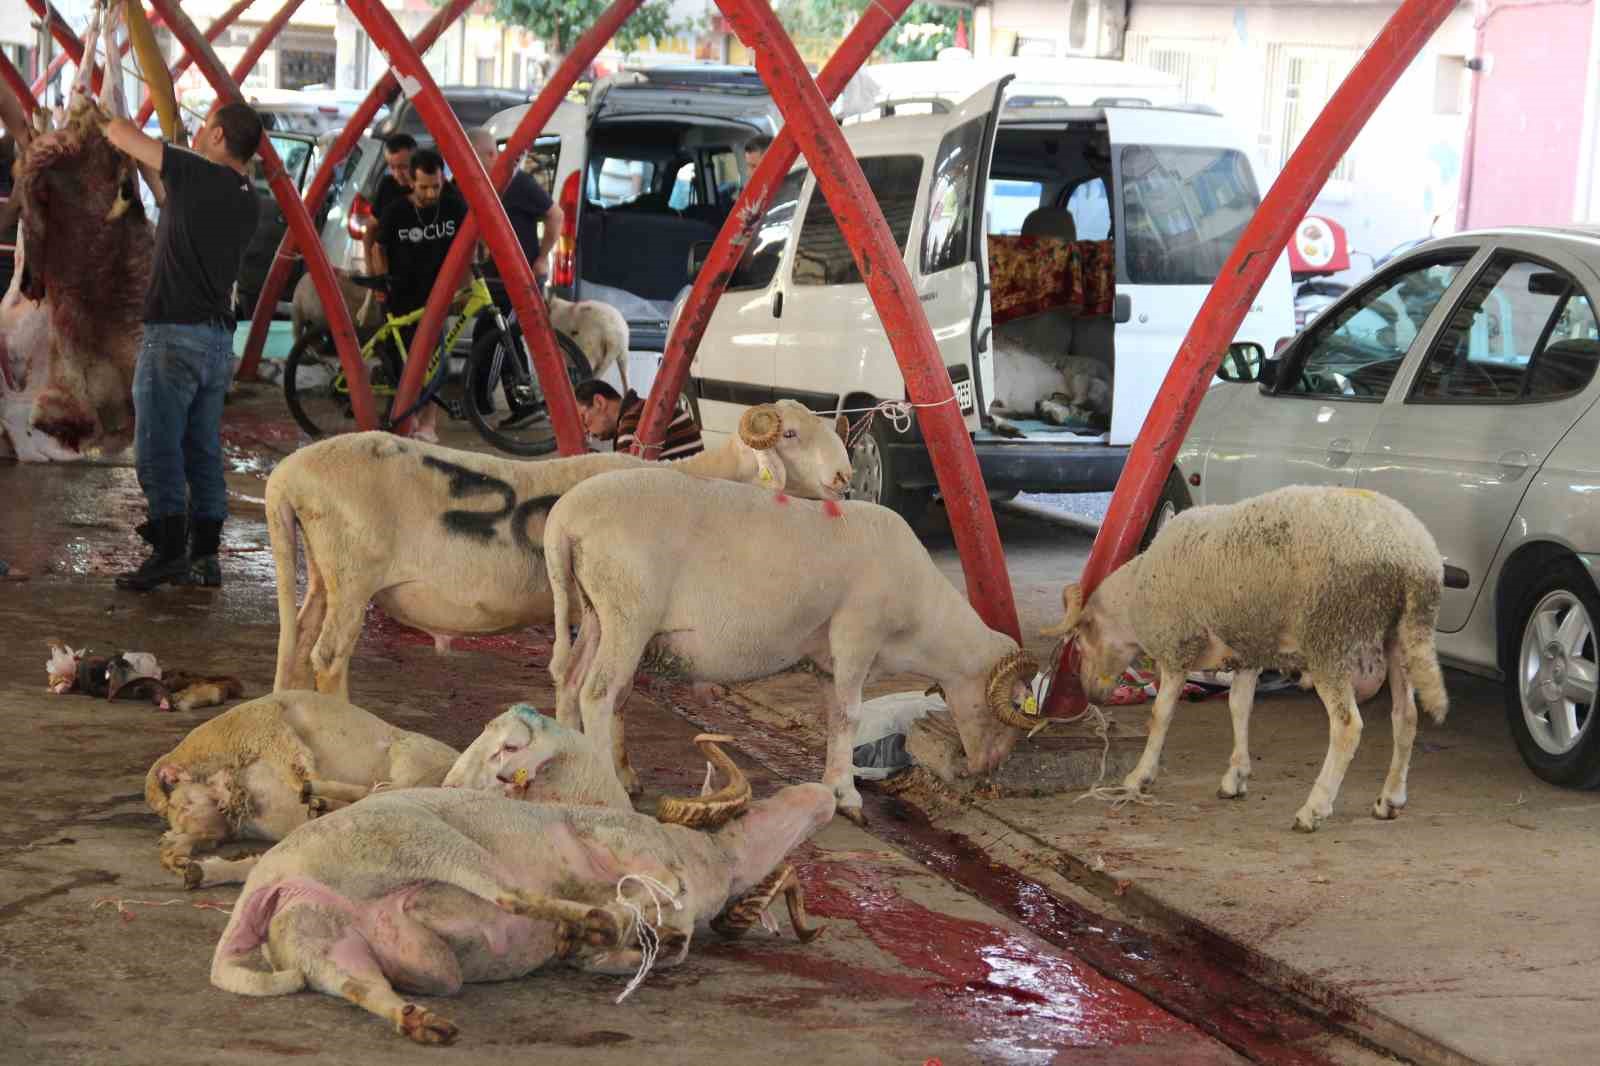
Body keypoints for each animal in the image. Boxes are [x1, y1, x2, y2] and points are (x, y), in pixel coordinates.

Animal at [145, 685, 457, 883]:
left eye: (178, 804)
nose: (172, 831)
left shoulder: (271, 735)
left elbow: (300, 769)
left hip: (410, 756)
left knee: (383, 789)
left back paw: (321, 799)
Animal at [268, 398, 857, 697]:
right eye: (790, 435)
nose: (846, 479)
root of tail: (287, 475)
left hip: (323, 572)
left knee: (298, 641)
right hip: (353, 573)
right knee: (328, 655)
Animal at [544, 464, 1043, 813]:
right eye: (1011, 708)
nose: (985, 770)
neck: (922, 625)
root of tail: (565, 519)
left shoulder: (826, 658)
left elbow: (835, 717)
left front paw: (833, 783)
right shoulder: (856, 634)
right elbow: (850, 715)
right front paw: (848, 796)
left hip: (595, 612)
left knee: (569, 681)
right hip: (628, 613)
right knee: (598, 693)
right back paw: (610, 785)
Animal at [1049, 483, 1452, 832]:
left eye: (1079, 643)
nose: (1091, 695)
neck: (1134, 597)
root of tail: (1414, 559)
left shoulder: (1177, 646)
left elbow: (1160, 716)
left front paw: (1139, 777)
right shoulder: (1247, 651)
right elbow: (1239, 709)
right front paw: (1236, 777)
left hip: (1330, 636)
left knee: (1347, 726)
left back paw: (1314, 808)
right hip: (1400, 639)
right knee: (1405, 717)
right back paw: (1390, 799)